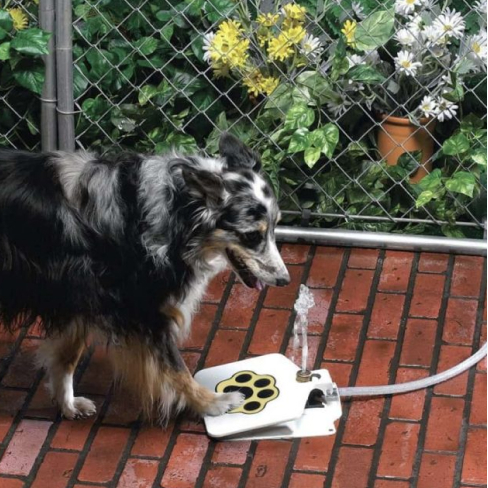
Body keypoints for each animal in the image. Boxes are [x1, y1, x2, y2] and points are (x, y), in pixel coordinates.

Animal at [0, 134, 290, 424]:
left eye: (276, 226)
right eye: (251, 236)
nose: (285, 281)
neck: (175, 210)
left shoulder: (79, 296)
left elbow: (66, 356)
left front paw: (67, 405)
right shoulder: (141, 310)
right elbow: (176, 367)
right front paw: (212, 402)